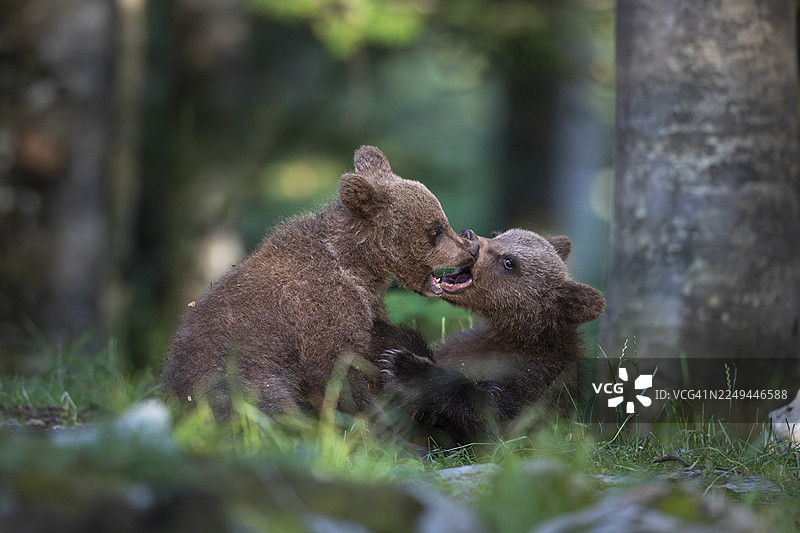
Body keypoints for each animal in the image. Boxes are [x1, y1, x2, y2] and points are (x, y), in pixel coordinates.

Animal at [161, 146, 479, 417]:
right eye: (435, 229)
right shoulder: (322, 310)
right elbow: (335, 370)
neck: (356, 266)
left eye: (443, 221)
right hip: (238, 372)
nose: (471, 247)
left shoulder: (366, 308)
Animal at [378, 228, 605, 445]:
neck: (513, 334)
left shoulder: (536, 378)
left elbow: (489, 419)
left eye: (509, 262)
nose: (468, 235)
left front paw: (403, 365)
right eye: (497, 234)